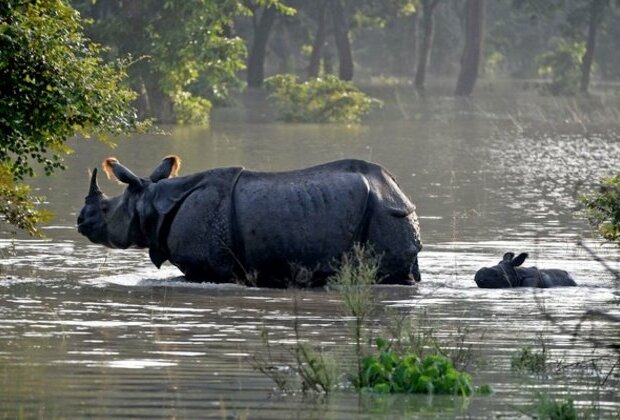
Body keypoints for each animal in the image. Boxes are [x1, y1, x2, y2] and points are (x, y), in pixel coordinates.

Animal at [77, 156, 422, 288]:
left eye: (105, 209)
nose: (81, 221)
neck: (151, 203)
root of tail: (398, 191)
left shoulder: (210, 270)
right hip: (384, 210)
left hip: (384, 214)